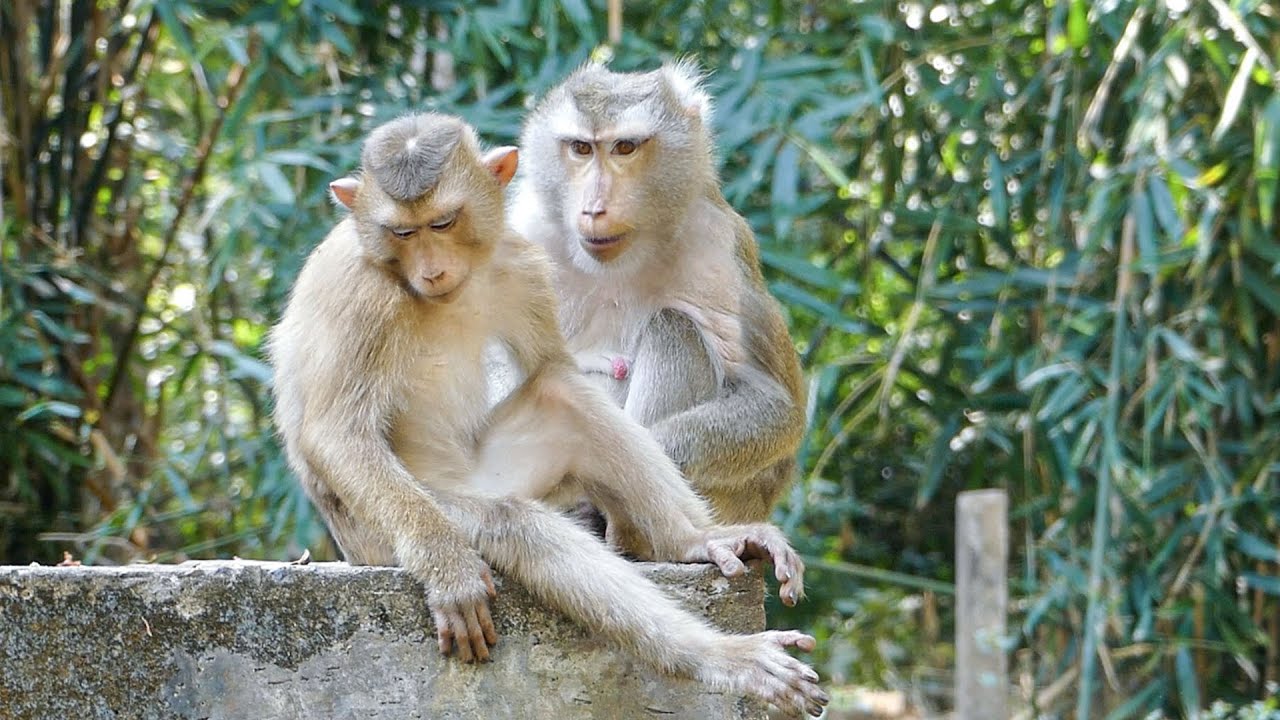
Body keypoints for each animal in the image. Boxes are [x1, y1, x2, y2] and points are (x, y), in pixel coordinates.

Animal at [267, 112, 828, 717]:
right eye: (401, 234)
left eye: (443, 222)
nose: (432, 270)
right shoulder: (363, 294)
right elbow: (337, 433)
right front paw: (451, 571)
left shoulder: (520, 263)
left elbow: (551, 366)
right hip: (388, 528)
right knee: (516, 526)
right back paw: (723, 657)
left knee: (565, 397)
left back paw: (693, 542)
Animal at [508, 61, 808, 525]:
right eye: (581, 148)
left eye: (625, 148)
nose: (594, 208)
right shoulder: (526, 234)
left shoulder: (716, 245)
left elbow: (774, 405)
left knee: (674, 326)